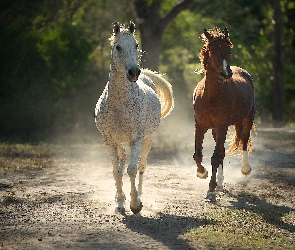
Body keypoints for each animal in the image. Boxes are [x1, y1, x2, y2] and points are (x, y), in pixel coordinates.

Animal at [95, 21, 175, 214]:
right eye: (118, 47)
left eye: (136, 45)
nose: (133, 72)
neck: (119, 104)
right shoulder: (109, 140)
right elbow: (117, 171)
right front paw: (120, 201)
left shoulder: (136, 139)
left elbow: (132, 169)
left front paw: (135, 203)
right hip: (120, 142)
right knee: (122, 162)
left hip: (147, 139)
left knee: (141, 166)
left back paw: (140, 194)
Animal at [193, 27, 256, 200]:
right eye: (213, 49)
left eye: (229, 50)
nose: (225, 73)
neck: (211, 96)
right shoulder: (200, 125)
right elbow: (198, 154)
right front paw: (202, 173)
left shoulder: (222, 126)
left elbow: (215, 157)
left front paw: (210, 190)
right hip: (215, 129)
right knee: (221, 151)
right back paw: (220, 183)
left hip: (247, 118)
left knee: (244, 140)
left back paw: (245, 169)